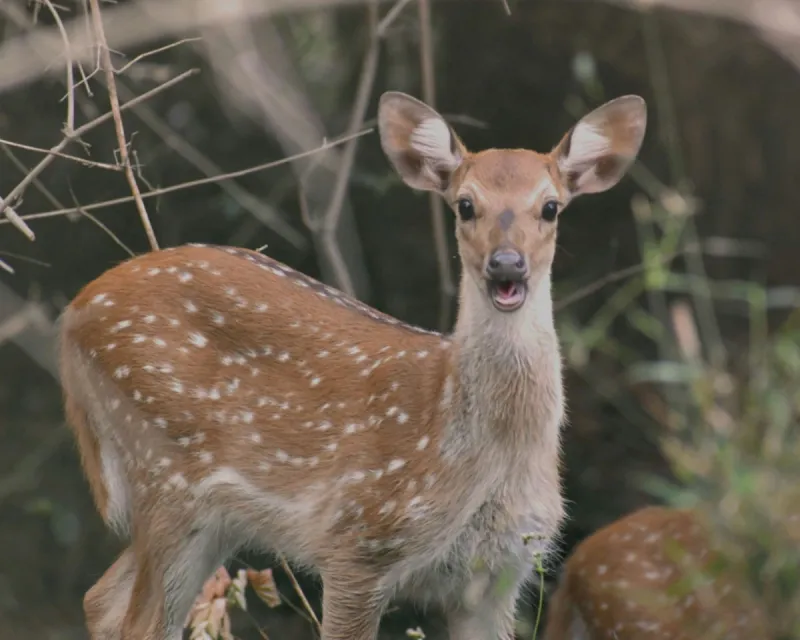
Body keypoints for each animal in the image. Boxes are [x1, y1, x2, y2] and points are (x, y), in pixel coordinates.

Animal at [59, 90, 647, 640]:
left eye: (550, 207)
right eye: (464, 205)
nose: (506, 265)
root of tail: (74, 313)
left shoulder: (499, 574)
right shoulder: (357, 542)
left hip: (212, 515)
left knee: (100, 598)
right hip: (163, 471)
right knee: (137, 619)